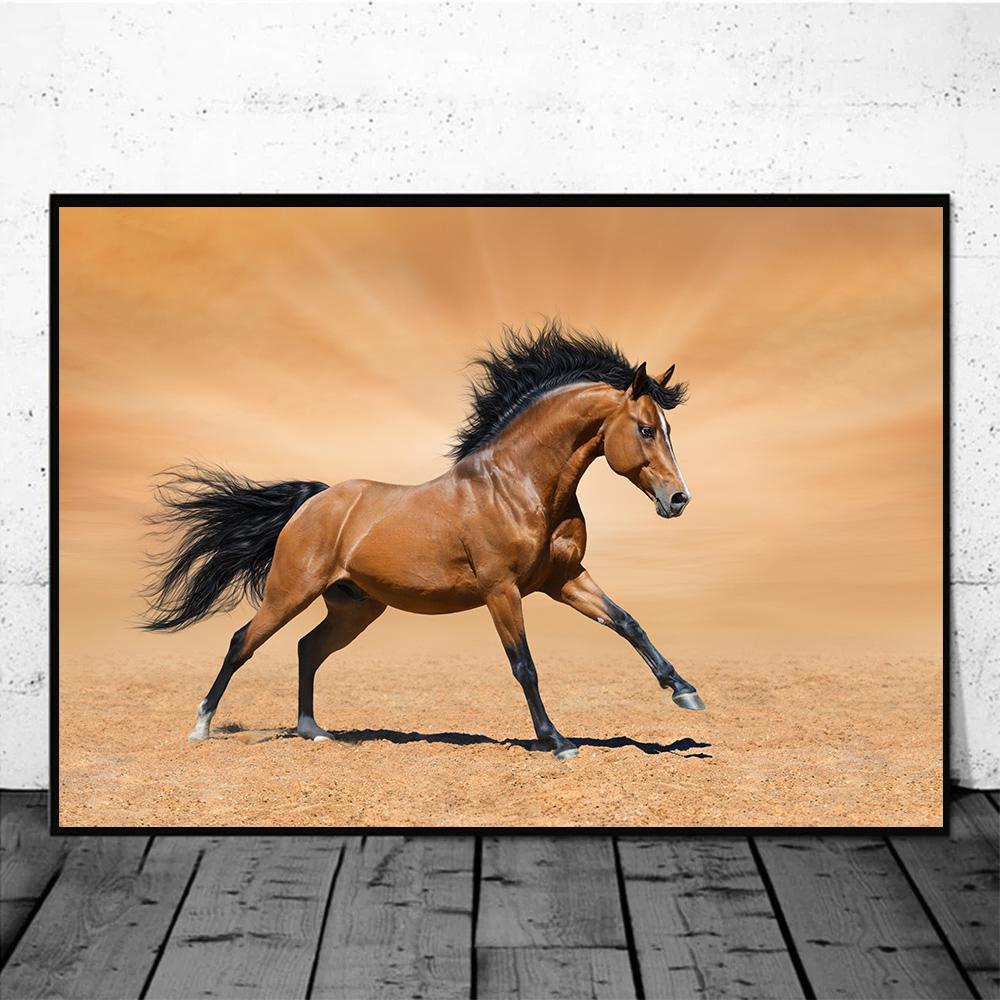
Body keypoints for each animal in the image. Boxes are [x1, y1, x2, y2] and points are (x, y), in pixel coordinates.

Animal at [142, 322, 704, 761]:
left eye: (667, 429)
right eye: (646, 429)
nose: (679, 499)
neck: (520, 485)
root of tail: (315, 500)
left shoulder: (564, 579)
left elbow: (628, 623)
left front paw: (685, 692)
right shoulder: (502, 590)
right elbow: (524, 665)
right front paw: (557, 741)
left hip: (355, 607)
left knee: (307, 648)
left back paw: (314, 732)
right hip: (290, 591)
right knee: (242, 642)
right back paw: (201, 727)